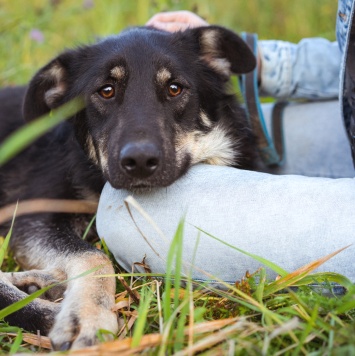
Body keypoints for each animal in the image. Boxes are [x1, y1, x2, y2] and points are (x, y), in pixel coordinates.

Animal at [0, 25, 258, 350]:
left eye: (175, 88)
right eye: (106, 90)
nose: (140, 161)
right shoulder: (32, 216)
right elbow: (93, 255)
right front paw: (88, 316)